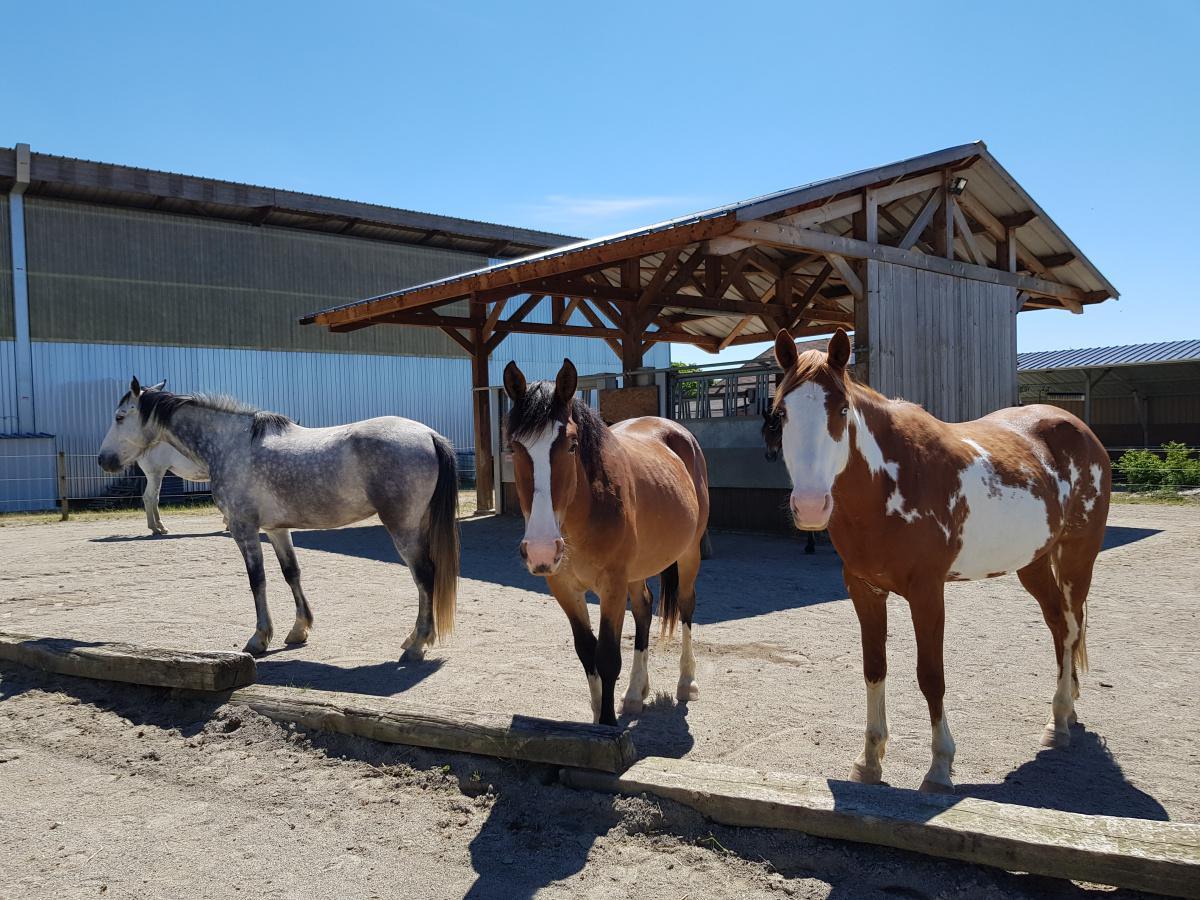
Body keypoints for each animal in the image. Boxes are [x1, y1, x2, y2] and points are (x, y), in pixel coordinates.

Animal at [98, 376, 460, 657]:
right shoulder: (275, 530)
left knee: (424, 575)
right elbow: (291, 573)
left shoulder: (243, 528)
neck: (230, 443)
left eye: (119, 416)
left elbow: (257, 579)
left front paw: (259, 638)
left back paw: (418, 643)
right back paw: (415, 638)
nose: (104, 460)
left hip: (403, 528)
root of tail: (429, 435)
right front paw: (299, 629)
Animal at [501, 357, 705, 724]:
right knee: (644, 608)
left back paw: (687, 682)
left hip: (688, 554)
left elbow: (608, 656)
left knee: (685, 606)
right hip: (637, 569)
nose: (541, 549)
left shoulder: (612, 585)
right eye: (513, 446)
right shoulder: (563, 586)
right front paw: (598, 719)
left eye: (570, 444)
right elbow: (586, 651)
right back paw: (636, 693)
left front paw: (608, 727)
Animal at [772, 331, 1108, 796]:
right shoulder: (864, 590)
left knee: (1073, 627)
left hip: (1079, 555)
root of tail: (1078, 428)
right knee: (1059, 626)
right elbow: (874, 668)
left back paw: (1058, 721)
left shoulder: (927, 592)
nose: (809, 506)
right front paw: (869, 762)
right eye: (782, 413)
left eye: (840, 410)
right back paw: (1064, 713)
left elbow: (931, 676)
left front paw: (939, 768)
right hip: (1034, 563)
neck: (892, 482)